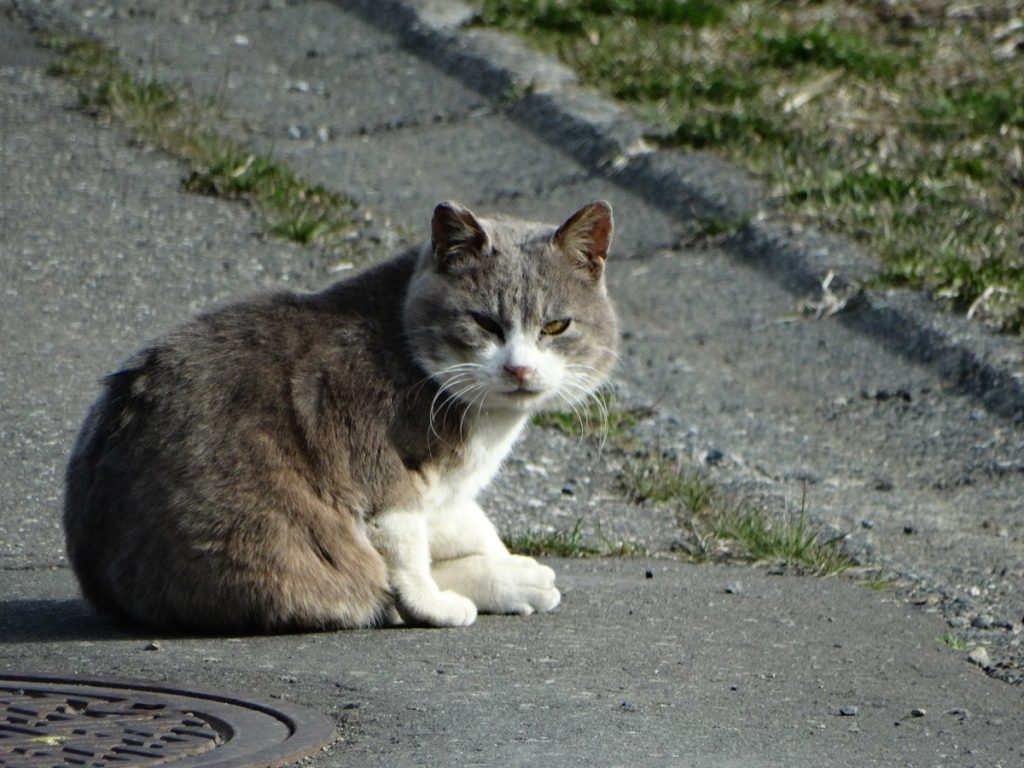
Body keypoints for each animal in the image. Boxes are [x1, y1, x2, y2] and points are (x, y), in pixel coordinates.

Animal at [68, 201, 618, 634]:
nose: (519, 368)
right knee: (367, 581)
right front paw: (437, 604)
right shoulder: (369, 455)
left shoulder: (444, 490)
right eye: (484, 322)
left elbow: (462, 523)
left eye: (556, 326)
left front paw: (493, 560)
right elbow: (405, 549)